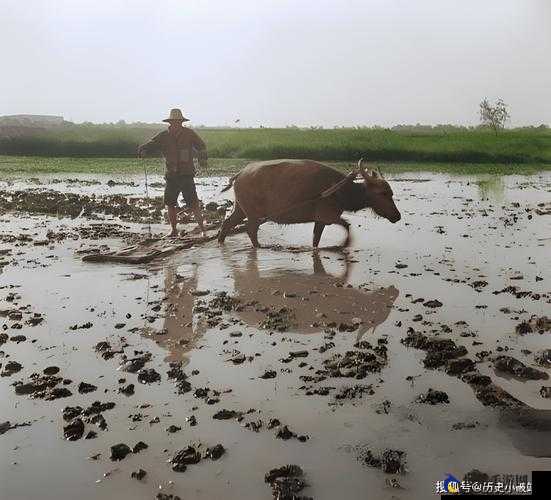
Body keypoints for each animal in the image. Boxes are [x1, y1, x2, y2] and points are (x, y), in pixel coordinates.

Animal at [217, 158, 402, 248]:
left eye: (391, 193)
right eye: (383, 193)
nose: (397, 216)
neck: (340, 190)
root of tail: (240, 173)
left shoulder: (320, 221)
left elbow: (315, 240)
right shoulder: (328, 216)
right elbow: (347, 226)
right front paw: (344, 244)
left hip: (240, 209)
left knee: (228, 223)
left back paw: (221, 242)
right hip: (253, 214)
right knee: (251, 229)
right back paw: (259, 246)